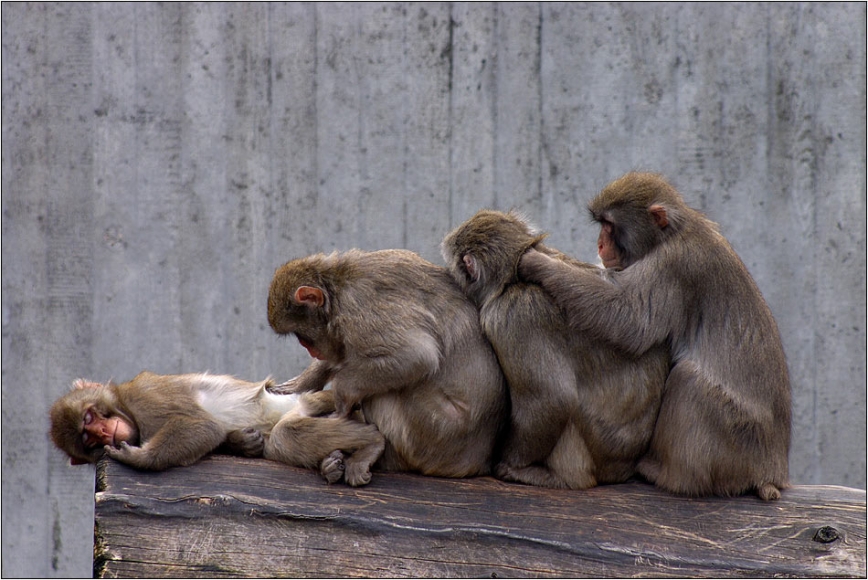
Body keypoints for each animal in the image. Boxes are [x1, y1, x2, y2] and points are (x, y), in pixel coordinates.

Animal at [49, 372, 384, 484]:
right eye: (88, 439)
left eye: (90, 418)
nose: (105, 432)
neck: (123, 405)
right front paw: (241, 442)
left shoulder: (146, 396)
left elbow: (204, 426)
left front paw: (139, 458)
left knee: (285, 436)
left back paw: (371, 443)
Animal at [266, 247, 508, 478]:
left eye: (302, 336)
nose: (310, 349)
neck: (337, 286)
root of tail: (475, 462)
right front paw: (302, 383)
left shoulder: (358, 307)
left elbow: (416, 355)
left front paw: (341, 396)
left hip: (433, 435)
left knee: (384, 391)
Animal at [516, 171, 792, 498]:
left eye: (609, 225)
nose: (599, 244)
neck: (669, 234)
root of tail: (772, 469)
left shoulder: (674, 267)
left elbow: (628, 317)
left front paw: (537, 262)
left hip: (738, 439)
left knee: (687, 379)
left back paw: (670, 475)